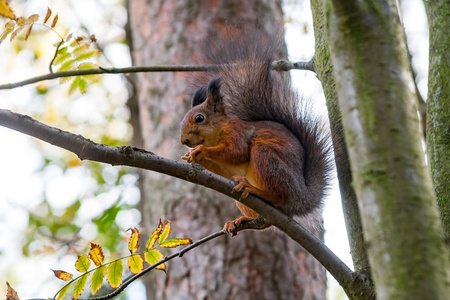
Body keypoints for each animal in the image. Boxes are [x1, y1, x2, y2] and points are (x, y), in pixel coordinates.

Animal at [180, 28, 334, 234]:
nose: (184, 141)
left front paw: (201, 151)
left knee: (279, 196)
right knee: (263, 222)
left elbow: (237, 152)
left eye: (199, 118)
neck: (217, 134)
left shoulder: (238, 133)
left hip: (267, 158)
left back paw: (256, 190)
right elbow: (227, 170)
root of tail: (302, 199)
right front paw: (192, 157)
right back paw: (241, 221)